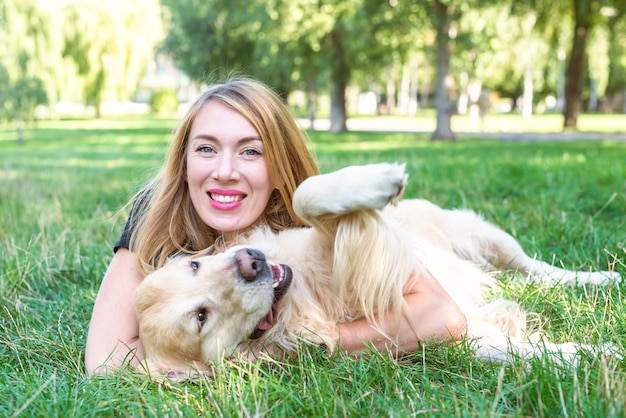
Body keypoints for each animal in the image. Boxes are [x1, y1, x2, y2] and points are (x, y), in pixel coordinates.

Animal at [134, 163, 616, 378]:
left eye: (194, 263)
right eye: (201, 317)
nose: (250, 263)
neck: (303, 301)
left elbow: (305, 195)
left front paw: (377, 180)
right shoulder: (447, 328)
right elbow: (515, 349)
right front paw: (593, 354)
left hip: (476, 230)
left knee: (534, 265)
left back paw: (599, 277)